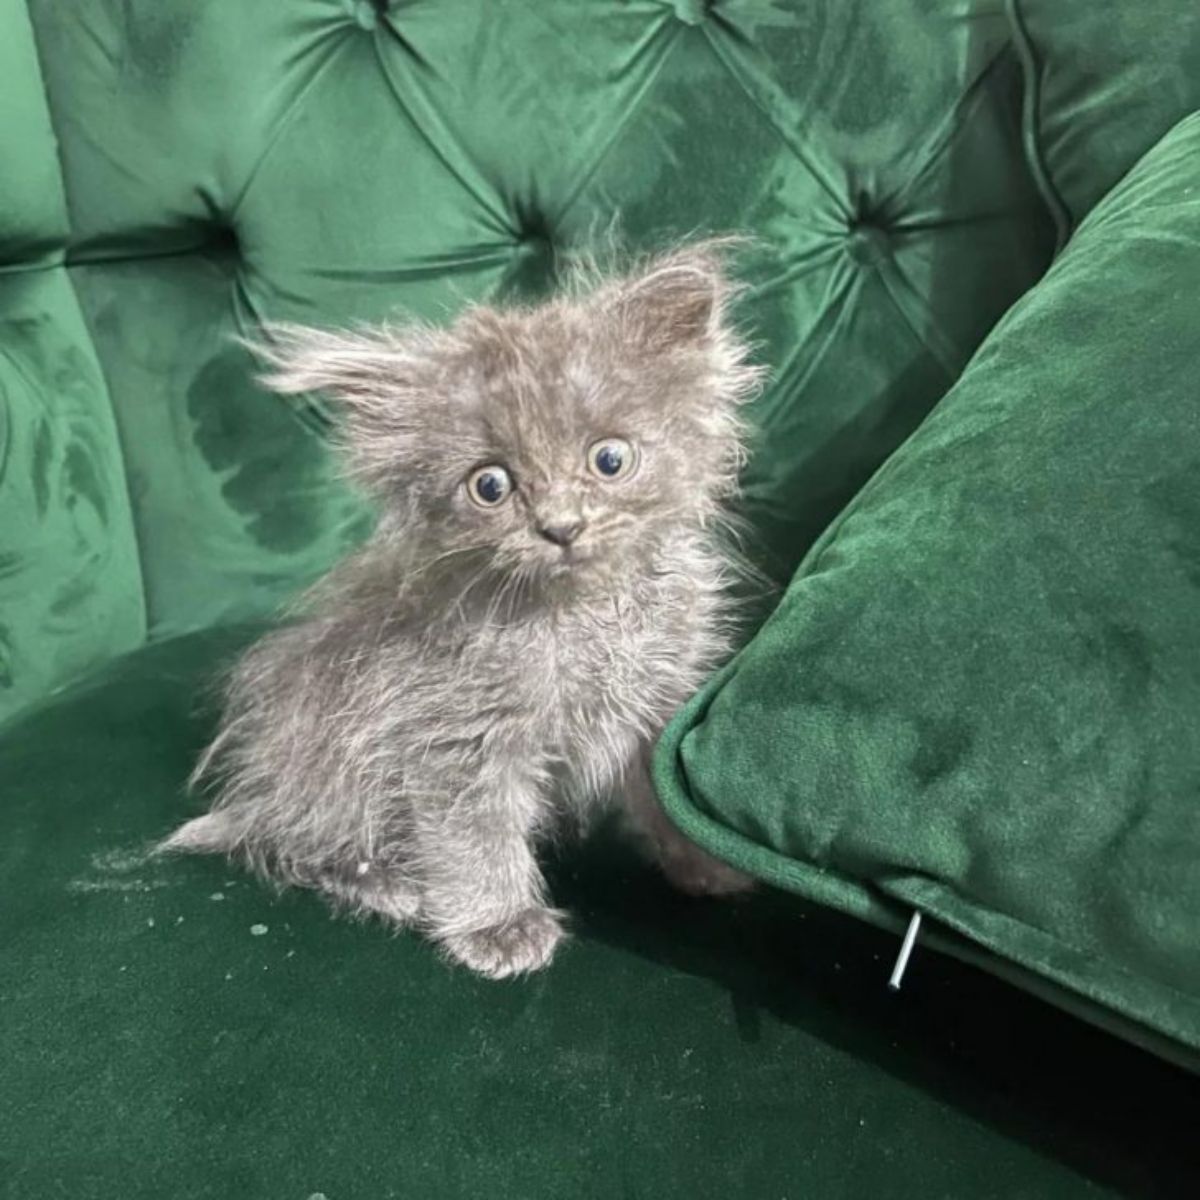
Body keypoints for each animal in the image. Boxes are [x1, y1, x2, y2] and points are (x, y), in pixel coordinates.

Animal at [164, 241, 763, 974]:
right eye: (490, 485)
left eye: (610, 459)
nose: (562, 527)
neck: (578, 613)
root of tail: (257, 793)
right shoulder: (454, 735)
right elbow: (474, 837)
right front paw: (497, 925)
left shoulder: (653, 709)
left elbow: (664, 798)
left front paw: (704, 866)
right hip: (332, 762)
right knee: (293, 846)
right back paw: (389, 885)